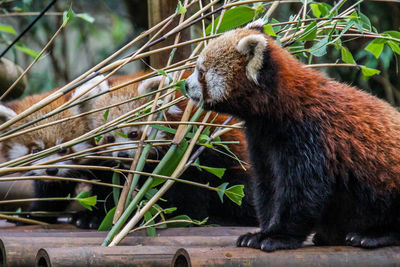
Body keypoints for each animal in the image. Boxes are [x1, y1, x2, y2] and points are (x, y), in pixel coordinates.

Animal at [185, 19, 400, 252]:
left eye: (201, 72)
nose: (185, 85)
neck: (280, 107)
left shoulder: (310, 136)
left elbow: (303, 192)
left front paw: (276, 236)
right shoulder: (261, 140)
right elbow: (268, 186)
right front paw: (260, 232)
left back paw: (373, 235)